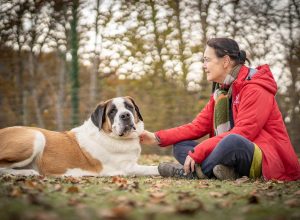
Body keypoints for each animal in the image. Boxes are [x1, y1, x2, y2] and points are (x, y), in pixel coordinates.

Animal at [0, 96, 159, 177]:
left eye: (129, 107)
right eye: (112, 111)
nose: (125, 115)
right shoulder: (128, 168)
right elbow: (152, 168)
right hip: (37, 137)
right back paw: (28, 173)